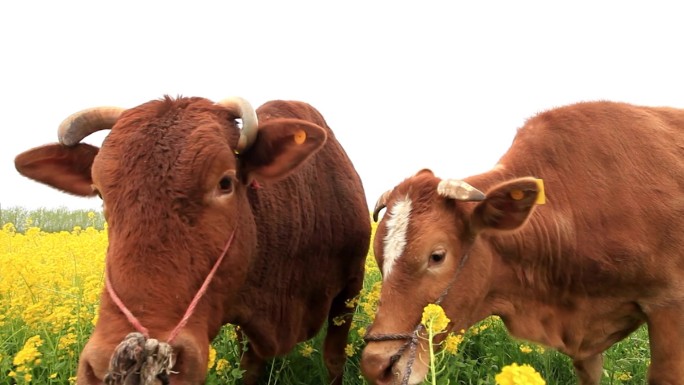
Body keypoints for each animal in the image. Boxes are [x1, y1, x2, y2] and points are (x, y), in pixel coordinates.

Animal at [14, 96, 368, 384]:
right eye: (100, 193)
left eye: (225, 182)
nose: (107, 366)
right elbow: (249, 367)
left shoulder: (349, 292)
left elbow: (334, 360)